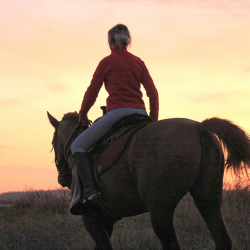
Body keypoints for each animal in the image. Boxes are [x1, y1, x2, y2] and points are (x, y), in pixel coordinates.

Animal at [47, 112, 250, 250]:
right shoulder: (106, 221)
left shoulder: (91, 220)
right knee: (222, 239)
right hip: (208, 201)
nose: (62, 177)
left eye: (52, 142)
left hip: (160, 211)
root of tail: (199, 128)